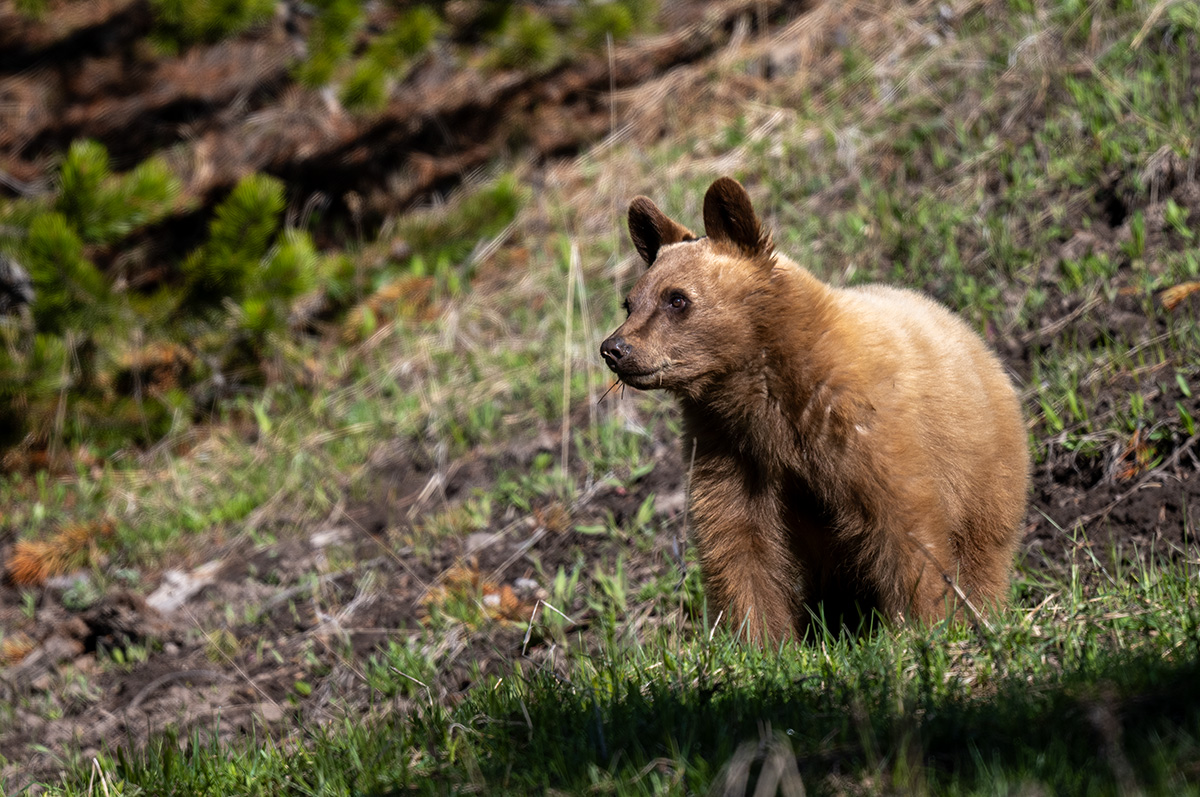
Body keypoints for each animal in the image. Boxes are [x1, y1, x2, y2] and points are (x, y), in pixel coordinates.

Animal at [600, 177, 1032, 643]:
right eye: (630, 302)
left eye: (677, 299)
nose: (614, 349)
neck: (759, 389)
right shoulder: (731, 447)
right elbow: (739, 541)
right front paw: (761, 642)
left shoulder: (861, 427)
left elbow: (905, 527)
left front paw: (922, 627)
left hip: (983, 468)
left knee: (982, 549)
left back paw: (984, 611)